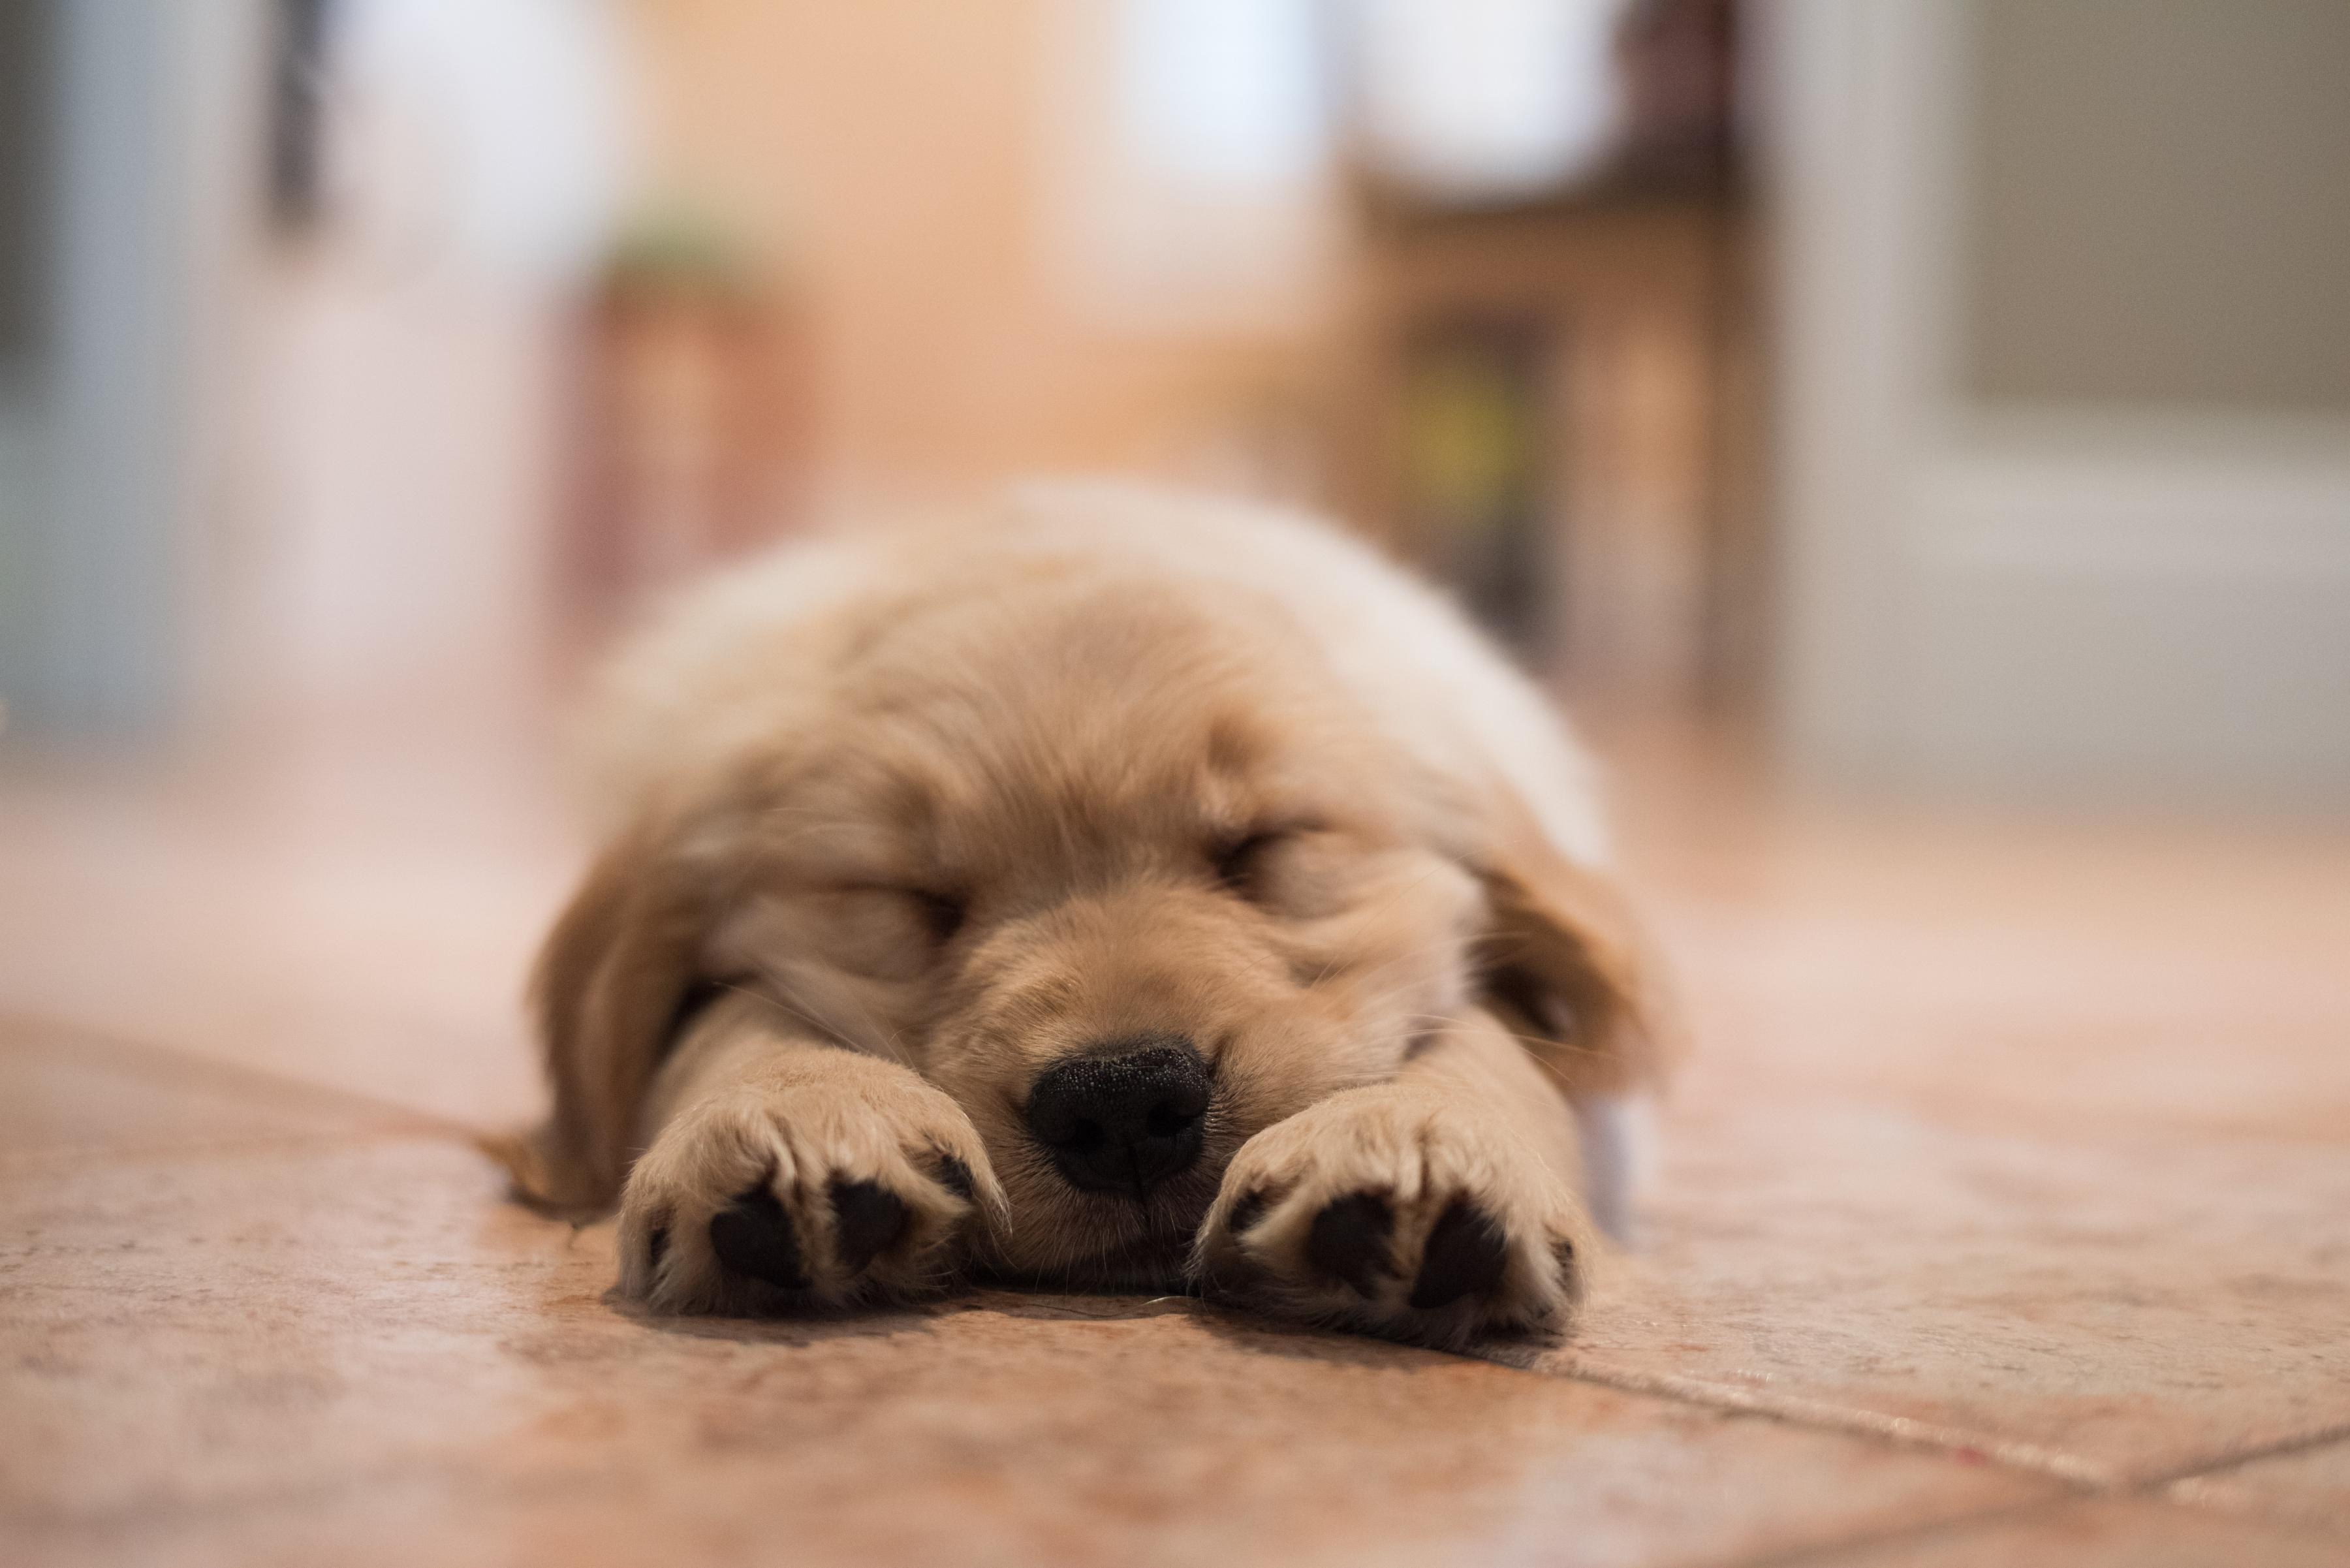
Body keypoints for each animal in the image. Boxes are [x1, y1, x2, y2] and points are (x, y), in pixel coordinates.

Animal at [505, 482, 1682, 1354]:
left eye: (1267, 845)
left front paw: (1417, 1141)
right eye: (910, 897)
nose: (1122, 1104)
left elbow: (1491, 1036)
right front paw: (800, 1110)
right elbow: (727, 1019)